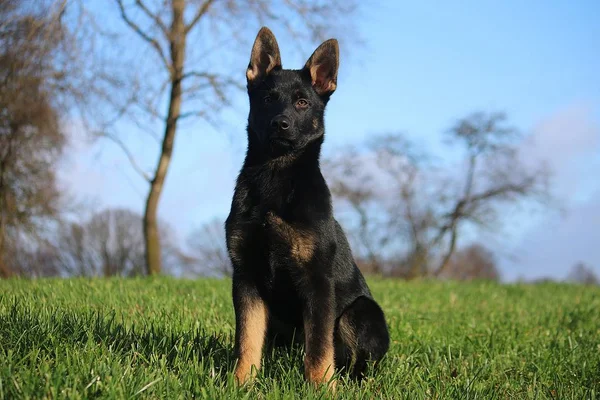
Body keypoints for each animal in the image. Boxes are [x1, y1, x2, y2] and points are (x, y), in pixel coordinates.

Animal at [225, 25, 390, 388]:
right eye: (268, 99)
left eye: (302, 102)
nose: (280, 123)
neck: (275, 175)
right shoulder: (246, 277)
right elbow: (247, 339)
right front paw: (241, 382)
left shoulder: (317, 283)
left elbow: (318, 346)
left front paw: (320, 387)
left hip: (359, 312)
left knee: (358, 362)